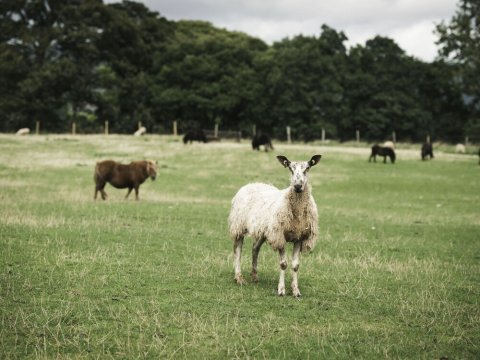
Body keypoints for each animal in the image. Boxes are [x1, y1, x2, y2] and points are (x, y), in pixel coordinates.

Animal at [229, 153, 322, 296]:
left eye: (307, 168)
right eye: (290, 169)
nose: (297, 186)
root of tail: (252, 184)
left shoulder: (300, 237)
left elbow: (295, 266)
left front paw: (295, 290)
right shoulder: (279, 235)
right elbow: (283, 264)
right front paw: (281, 290)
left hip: (263, 230)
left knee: (255, 248)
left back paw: (254, 276)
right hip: (239, 224)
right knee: (237, 250)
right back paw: (239, 277)